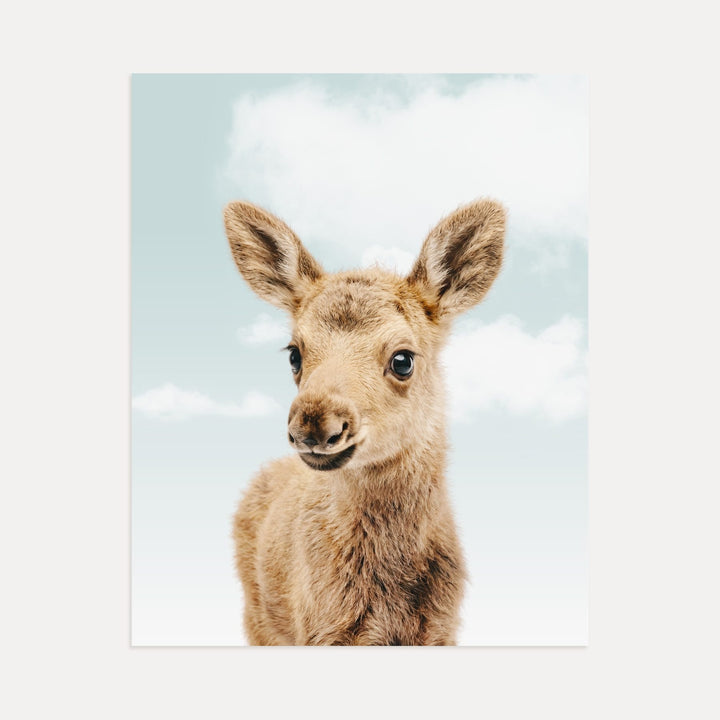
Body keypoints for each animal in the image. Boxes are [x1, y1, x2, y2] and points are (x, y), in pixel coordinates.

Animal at [223, 198, 505, 645]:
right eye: (294, 354)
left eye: (403, 359)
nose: (314, 424)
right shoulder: (319, 629)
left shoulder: (441, 629)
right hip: (258, 618)